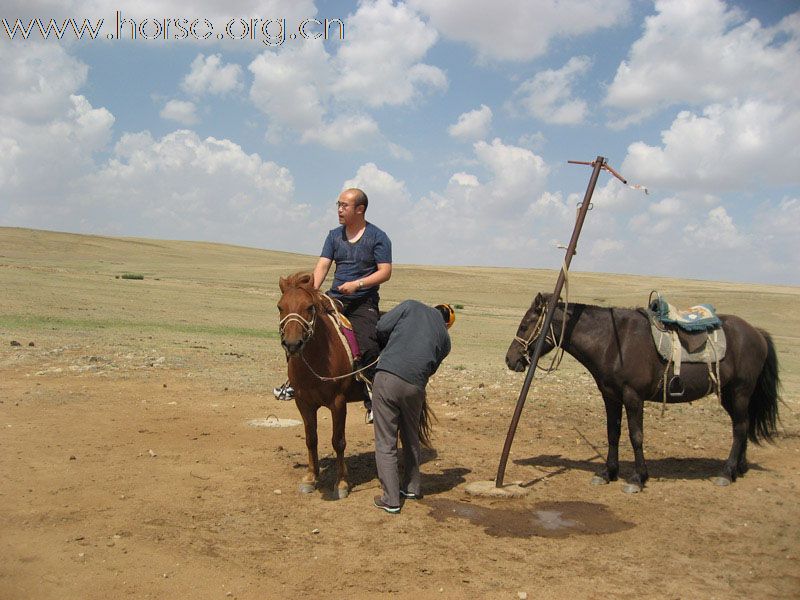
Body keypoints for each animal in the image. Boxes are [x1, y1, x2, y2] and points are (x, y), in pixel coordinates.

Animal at [506, 290, 780, 492]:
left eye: (525, 325)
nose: (510, 359)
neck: (611, 342)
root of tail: (756, 333)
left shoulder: (633, 396)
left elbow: (635, 436)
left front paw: (637, 478)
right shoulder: (610, 396)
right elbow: (613, 433)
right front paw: (607, 473)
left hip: (740, 391)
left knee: (740, 428)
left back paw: (726, 472)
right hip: (729, 395)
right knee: (743, 425)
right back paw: (739, 469)